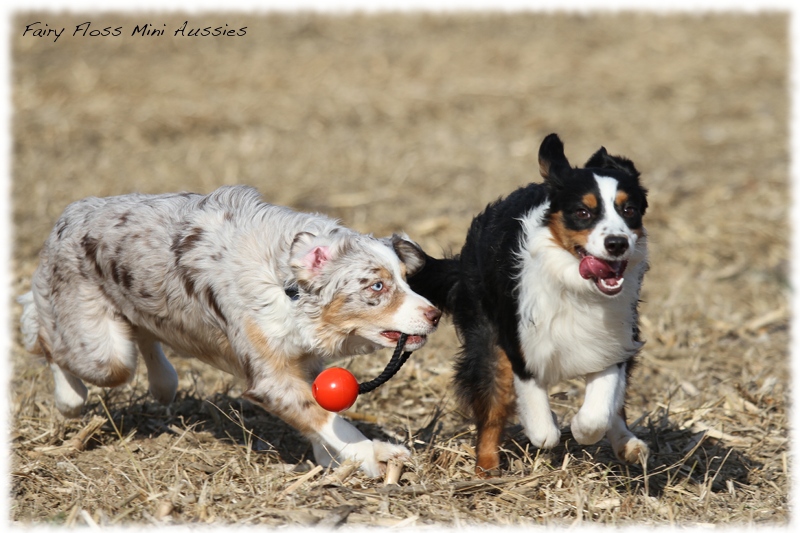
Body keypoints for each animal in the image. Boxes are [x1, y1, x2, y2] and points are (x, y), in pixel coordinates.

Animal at [18, 185, 440, 476]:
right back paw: (68, 398)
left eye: (406, 279)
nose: (435, 315)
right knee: (47, 336)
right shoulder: (269, 377)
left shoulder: (303, 362)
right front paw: (372, 454)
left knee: (147, 337)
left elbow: (317, 415)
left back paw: (162, 379)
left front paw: (338, 458)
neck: (287, 287)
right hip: (103, 352)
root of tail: (68, 215)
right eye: (377, 286)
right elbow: (322, 415)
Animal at [412, 133, 648, 474]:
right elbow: (542, 428)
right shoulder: (520, 346)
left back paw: (628, 444)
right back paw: (486, 471)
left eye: (629, 209)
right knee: (492, 412)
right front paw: (546, 427)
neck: (576, 286)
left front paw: (583, 431)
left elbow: (600, 409)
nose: (617, 244)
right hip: (486, 342)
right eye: (583, 212)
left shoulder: (612, 342)